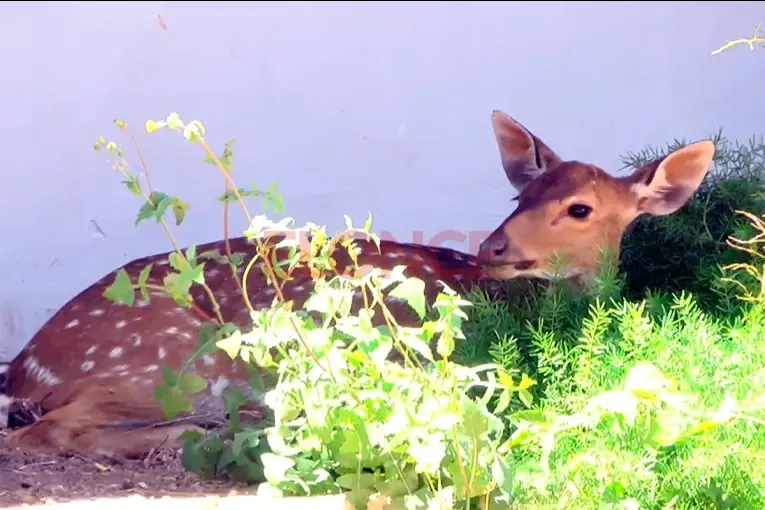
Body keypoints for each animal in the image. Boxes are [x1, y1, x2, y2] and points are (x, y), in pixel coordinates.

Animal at [0, 110, 716, 458]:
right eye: (521, 196)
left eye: (580, 208)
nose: (492, 247)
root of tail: (28, 368)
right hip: (178, 362)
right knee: (48, 431)